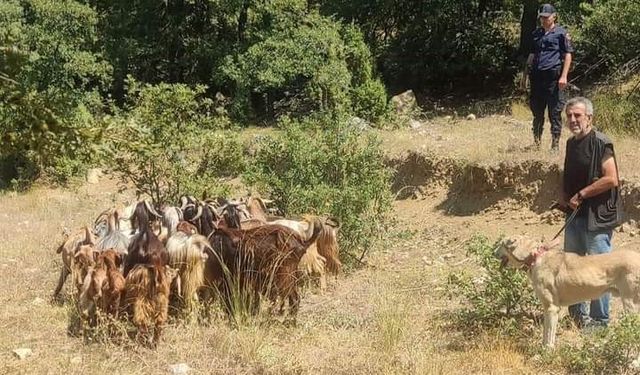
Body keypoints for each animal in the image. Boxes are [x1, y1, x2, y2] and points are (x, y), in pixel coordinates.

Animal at [498, 236, 640, 348]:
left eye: (501, 244)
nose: (493, 251)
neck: (536, 257)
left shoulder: (552, 308)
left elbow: (549, 335)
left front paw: (546, 352)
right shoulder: (547, 308)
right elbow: (545, 333)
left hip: (629, 303)